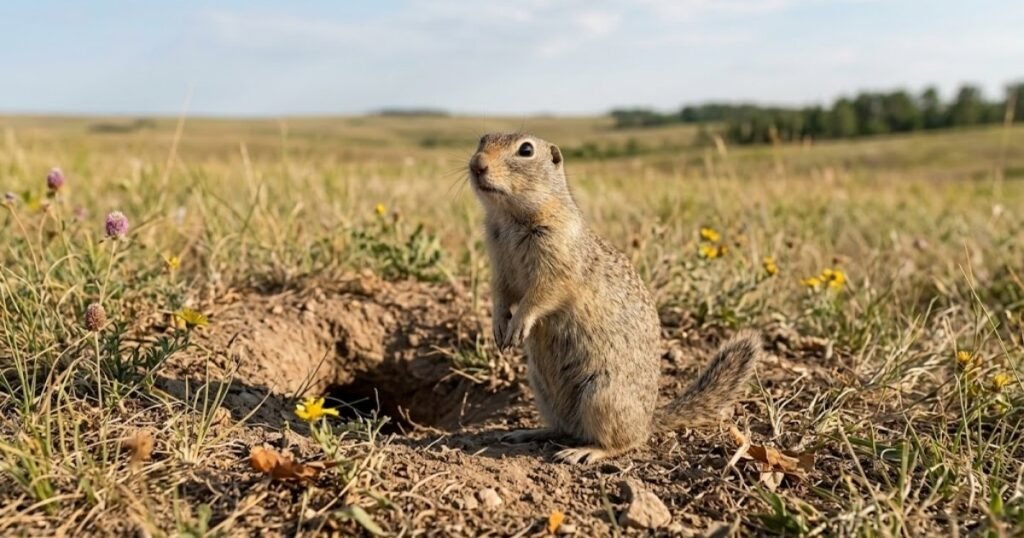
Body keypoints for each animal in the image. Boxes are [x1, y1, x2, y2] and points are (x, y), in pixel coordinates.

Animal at [468, 132, 761, 464]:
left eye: (526, 150)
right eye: (481, 140)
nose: (476, 165)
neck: (509, 217)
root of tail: (649, 420)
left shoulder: (557, 264)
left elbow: (542, 296)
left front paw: (519, 325)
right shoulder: (499, 266)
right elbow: (501, 294)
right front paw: (498, 326)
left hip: (602, 397)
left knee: (624, 441)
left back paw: (584, 452)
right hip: (542, 390)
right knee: (562, 427)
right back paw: (528, 432)